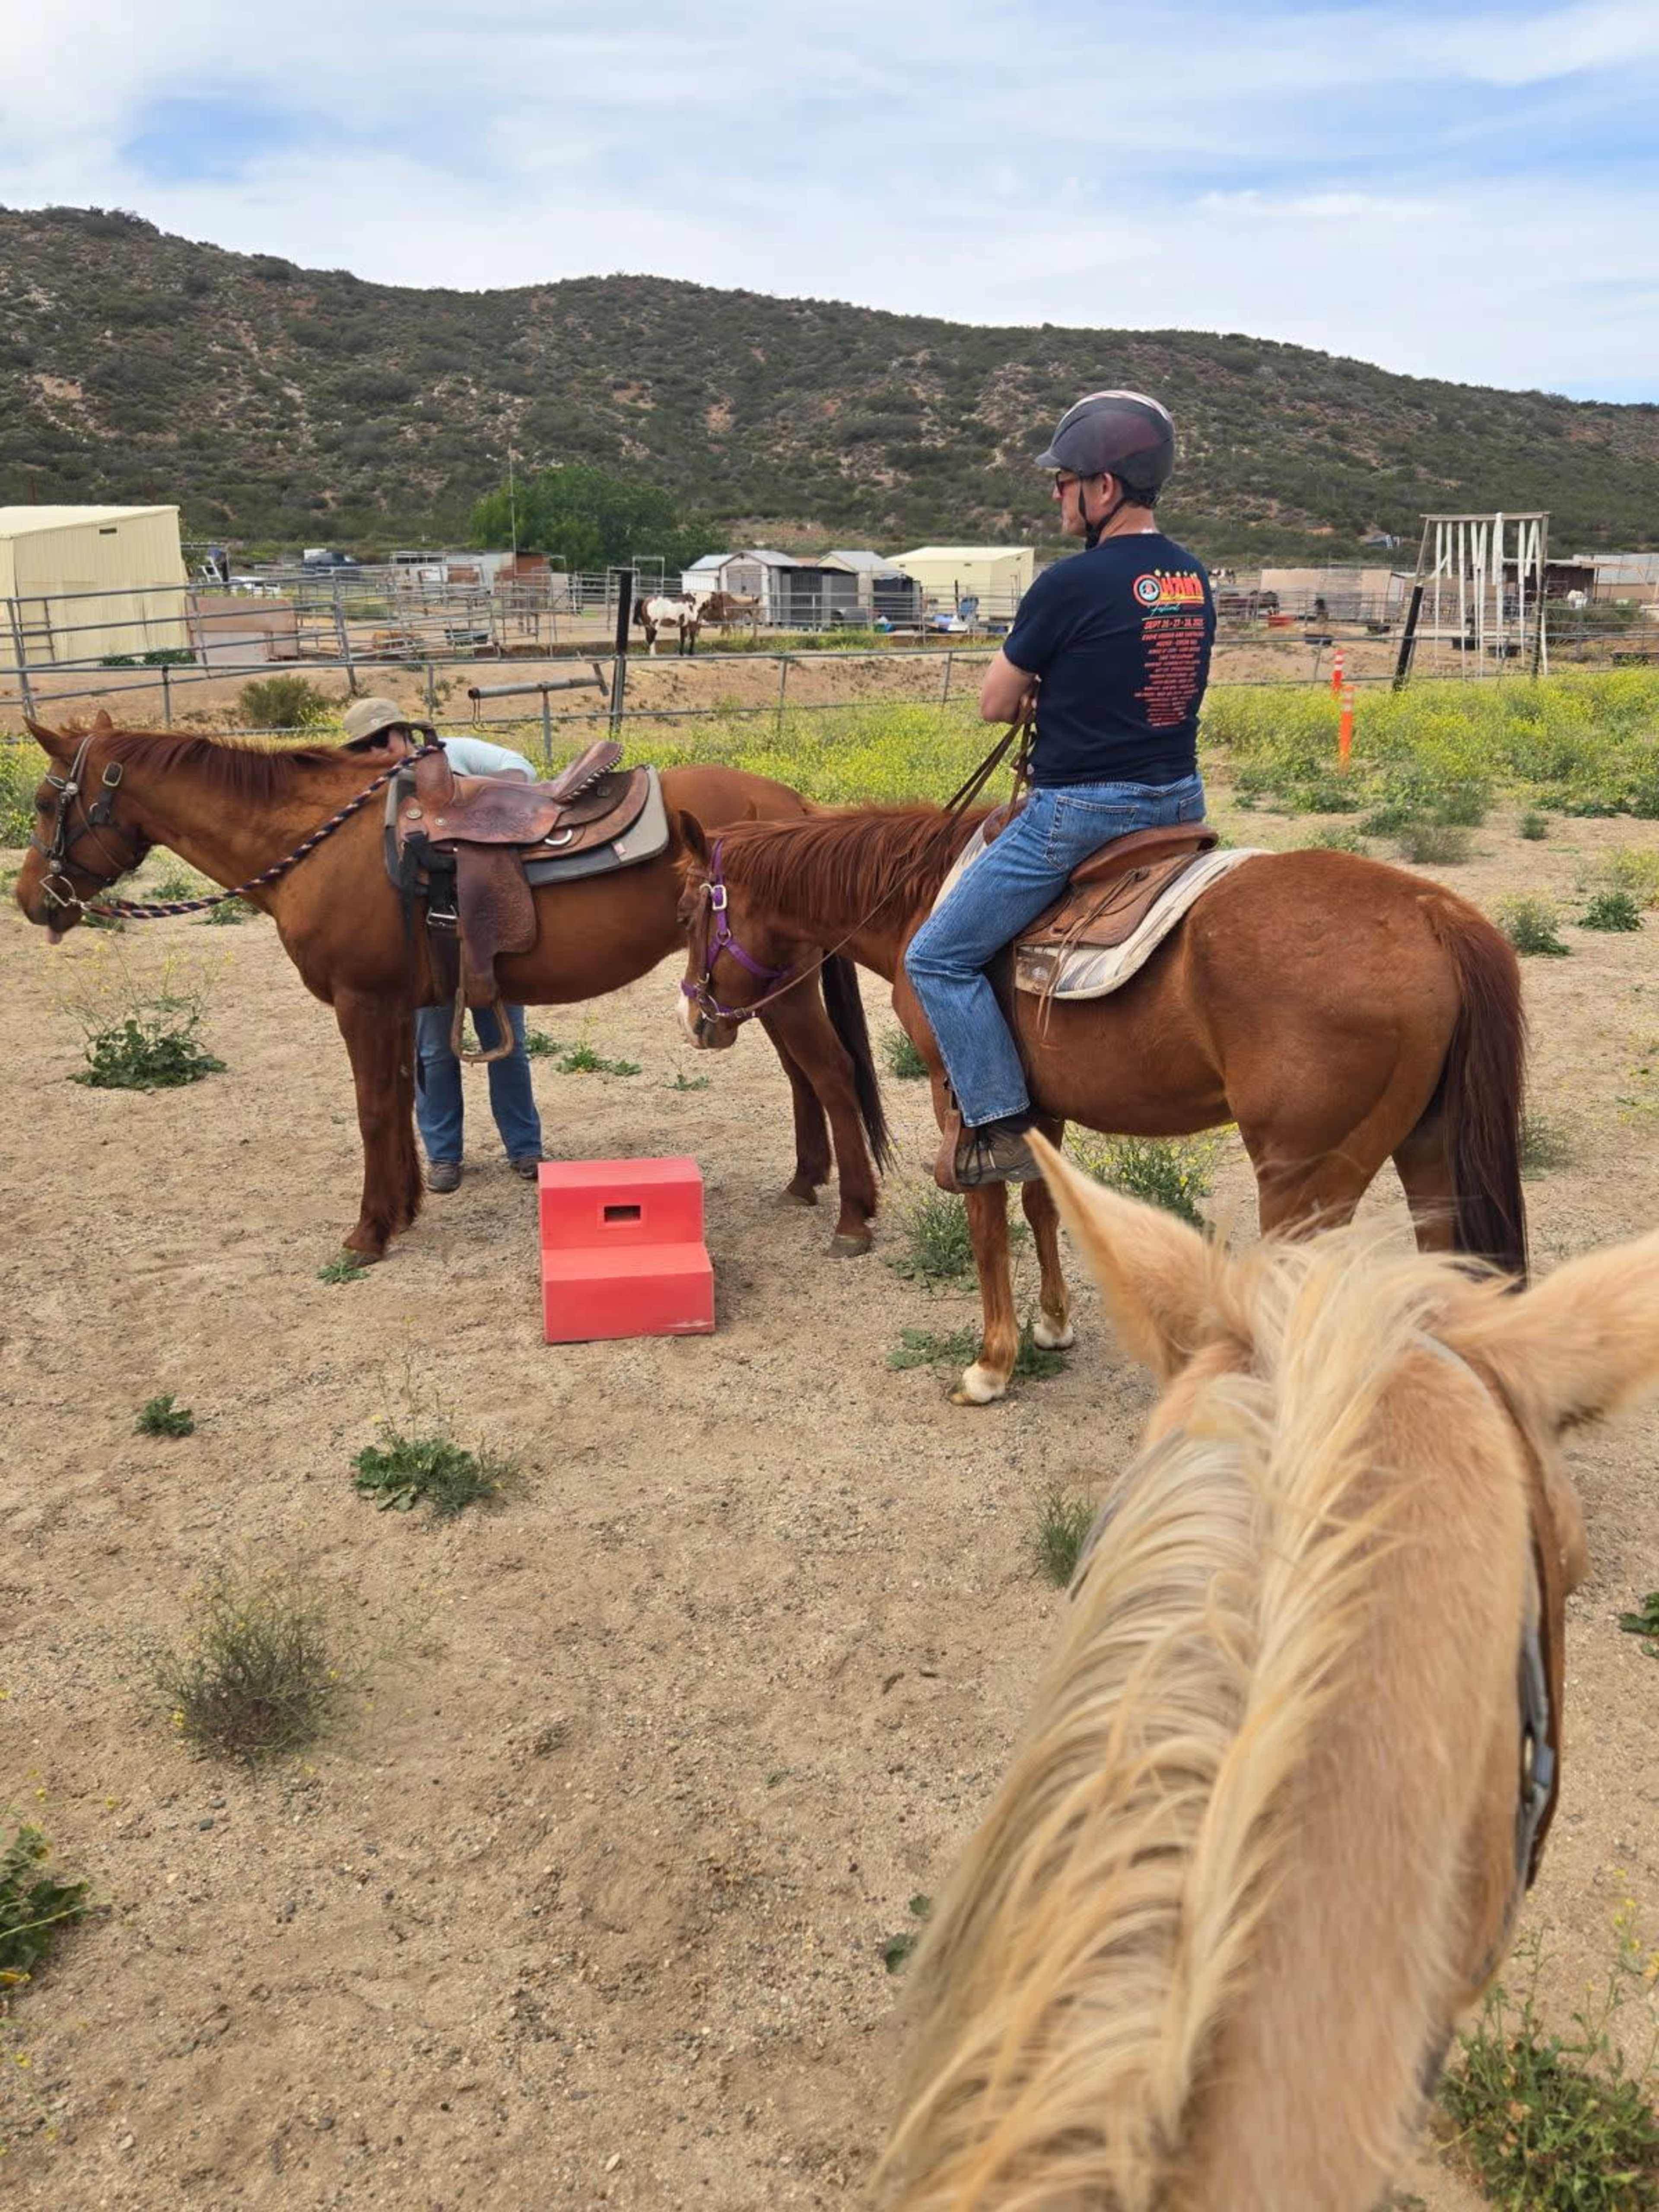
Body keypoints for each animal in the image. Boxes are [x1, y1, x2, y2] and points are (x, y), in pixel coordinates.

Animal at [14, 716, 890, 1261]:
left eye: (43, 799)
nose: (29, 901)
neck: (318, 845)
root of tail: (797, 806)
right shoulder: (401, 1009)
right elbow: (406, 1099)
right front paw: (405, 1206)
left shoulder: (362, 1004)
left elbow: (373, 1110)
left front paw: (368, 1234)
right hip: (758, 986)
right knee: (803, 1079)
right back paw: (804, 1183)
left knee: (833, 1076)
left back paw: (853, 1217)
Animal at [632, 593, 702, 656]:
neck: (692, 605)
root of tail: (646, 601)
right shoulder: (691, 625)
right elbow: (691, 639)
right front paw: (690, 653)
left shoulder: (684, 625)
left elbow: (683, 639)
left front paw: (681, 653)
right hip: (654, 626)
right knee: (651, 639)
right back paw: (653, 654)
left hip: (648, 627)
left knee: (649, 639)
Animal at [673, 804, 1527, 1404]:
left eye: (689, 912)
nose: (695, 1016)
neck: (921, 901)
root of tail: (1431, 912)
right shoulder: (1035, 1109)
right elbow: (1043, 1206)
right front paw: (1053, 1325)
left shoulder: (963, 1105)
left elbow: (987, 1223)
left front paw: (991, 1364)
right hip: (1428, 1156)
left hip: (1306, 1181)